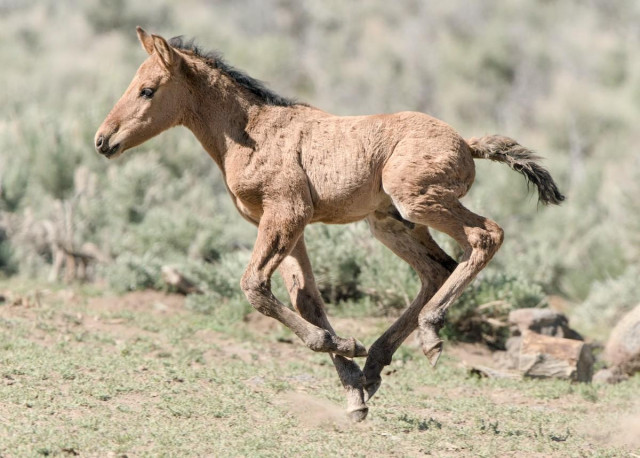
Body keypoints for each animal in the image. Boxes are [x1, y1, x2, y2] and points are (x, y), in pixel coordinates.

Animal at [95, 27, 564, 421]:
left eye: (148, 90)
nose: (103, 140)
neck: (252, 131)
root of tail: (467, 143)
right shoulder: (285, 225)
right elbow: (307, 300)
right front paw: (354, 391)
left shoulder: (285, 214)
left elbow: (254, 287)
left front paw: (348, 349)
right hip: (390, 223)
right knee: (438, 269)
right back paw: (375, 366)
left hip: (418, 202)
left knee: (485, 236)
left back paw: (429, 335)